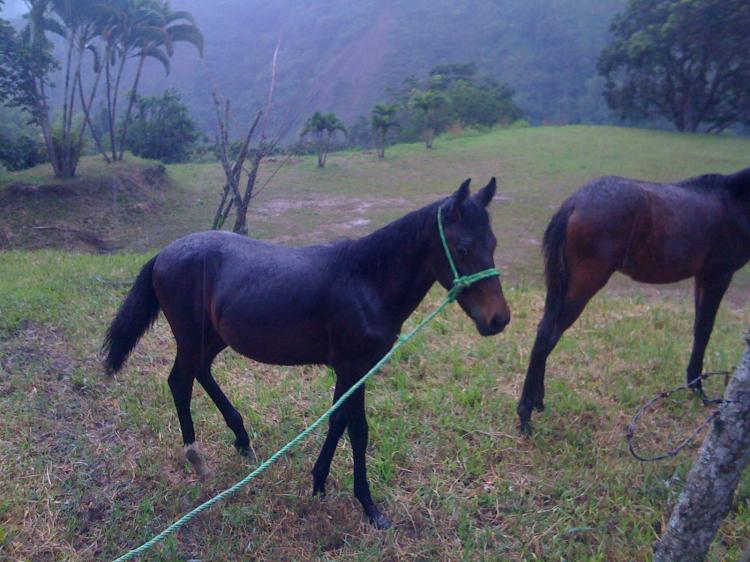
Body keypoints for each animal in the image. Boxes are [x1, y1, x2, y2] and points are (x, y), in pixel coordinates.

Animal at [104, 177, 512, 528]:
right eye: (462, 248)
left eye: (493, 244)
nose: (498, 319)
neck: (367, 281)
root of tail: (164, 253)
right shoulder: (353, 367)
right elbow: (357, 430)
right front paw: (369, 505)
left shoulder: (350, 370)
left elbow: (337, 421)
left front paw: (318, 483)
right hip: (191, 337)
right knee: (179, 382)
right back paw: (197, 458)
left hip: (214, 337)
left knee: (201, 372)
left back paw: (242, 440)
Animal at [520, 165, 750, 434]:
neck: (732, 199)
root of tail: (574, 202)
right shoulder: (719, 274)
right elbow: (705, 329)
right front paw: (698, 390)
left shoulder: (702, 276)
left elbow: (698, 328)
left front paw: (693, 384)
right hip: (584, 284)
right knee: (548, 333)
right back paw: (525, 416)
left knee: (547, 332)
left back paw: (538, 401)